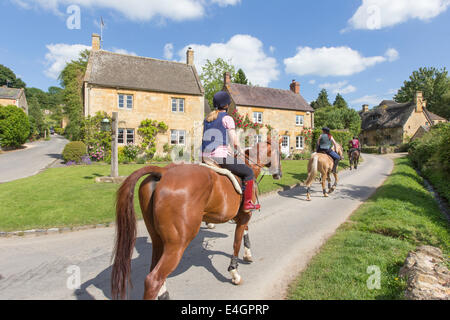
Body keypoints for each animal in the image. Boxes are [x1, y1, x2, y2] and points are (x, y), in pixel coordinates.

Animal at [111, 140, 282, 300]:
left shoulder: (241, 216)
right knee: (153, 280)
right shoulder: (245, 215)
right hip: (177, 243)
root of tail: (163, 171)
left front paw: (247, 255)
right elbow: (236, 243)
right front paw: (234, 272)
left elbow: (245, 234)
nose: (278, 174)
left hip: (158, 239)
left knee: (155, 270)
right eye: (279, 153)